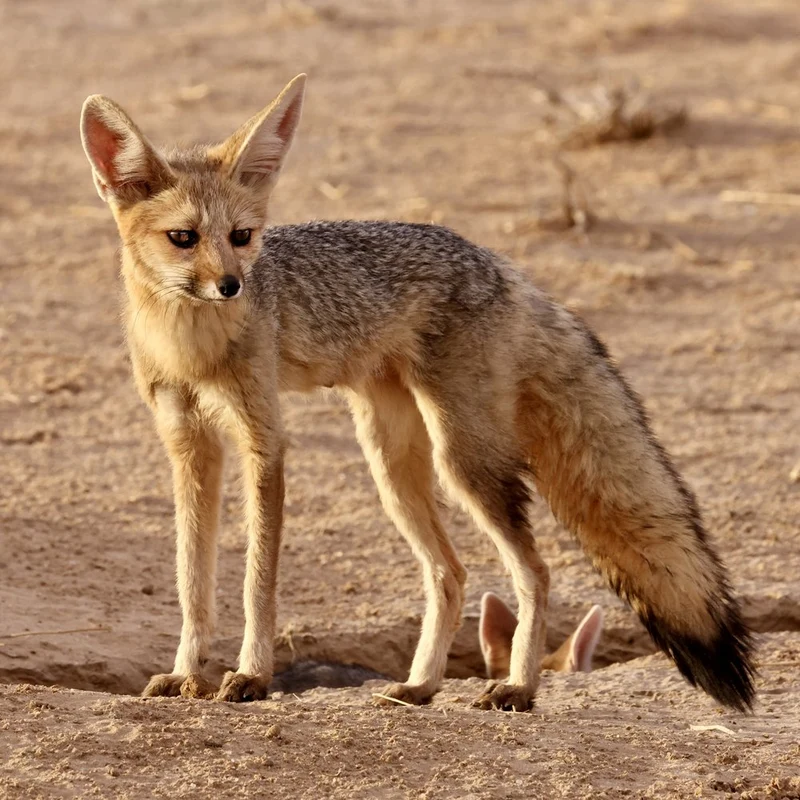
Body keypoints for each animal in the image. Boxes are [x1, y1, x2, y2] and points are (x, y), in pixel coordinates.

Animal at [79, 74, 755, 713]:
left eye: (242, 236)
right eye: (184, 238)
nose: (231, 285)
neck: (190, 349)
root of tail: (499, 262)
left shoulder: (262, 439)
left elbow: (256, 581)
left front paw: (251, 676)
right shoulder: (189, 447)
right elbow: (192, 580)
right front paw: (187, 675)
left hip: (461, 461)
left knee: (534, 571)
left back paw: (518, 688)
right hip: (391, 468)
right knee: (450, 572)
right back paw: (421, 685)